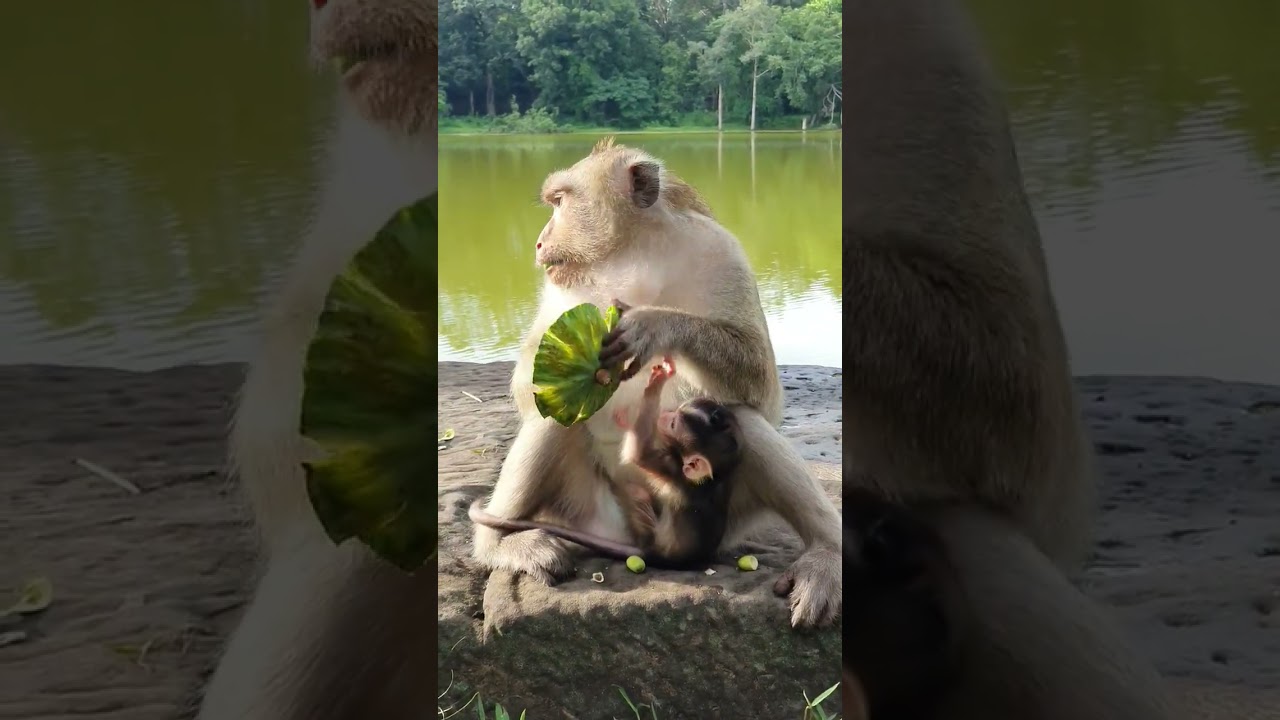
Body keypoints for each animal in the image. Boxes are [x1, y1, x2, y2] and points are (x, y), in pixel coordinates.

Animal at [468, 357, 742, 570]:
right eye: (678, 412)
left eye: (674, 424)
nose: (666, 416)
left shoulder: (669, 465)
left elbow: (637, 454)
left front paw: (653, 386)